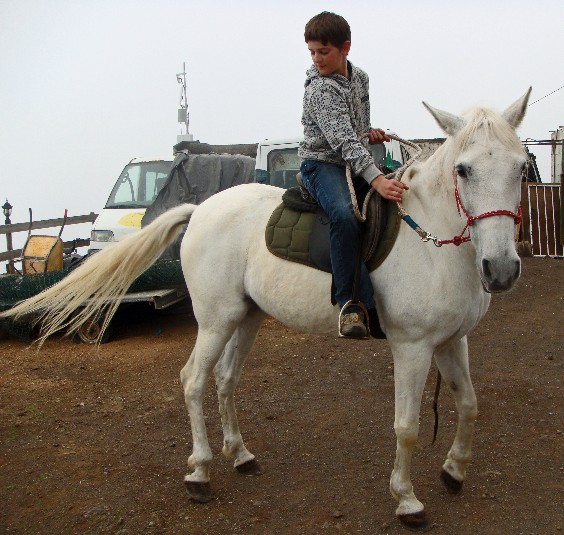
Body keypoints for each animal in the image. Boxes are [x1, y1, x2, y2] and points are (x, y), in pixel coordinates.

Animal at [1, 90, 528, 528]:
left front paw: (454, 471)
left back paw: (240, 455)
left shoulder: (452, 340)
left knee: (225, 380)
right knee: (194, 380)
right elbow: (408, 426)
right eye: (463, 170)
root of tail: (200, 209)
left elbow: (470, 404)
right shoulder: (413, 347)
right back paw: (199, 473)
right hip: (215, 321)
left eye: (521, 167)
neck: (434, 241)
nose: (500, 269)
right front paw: (407, 500)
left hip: (246, 317)